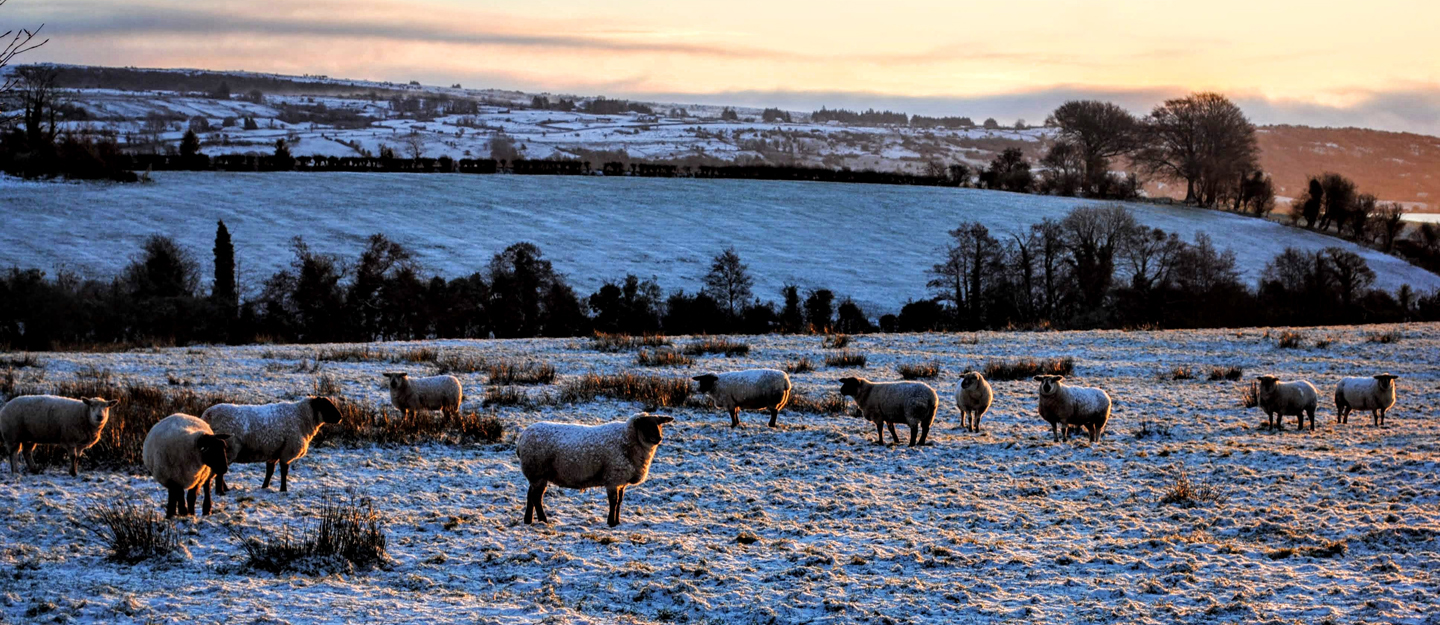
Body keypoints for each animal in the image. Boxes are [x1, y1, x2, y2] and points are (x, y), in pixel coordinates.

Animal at [201, 397, 344, 495]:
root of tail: (207, 415)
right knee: (219, 471)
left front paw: (265, 487)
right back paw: (222, 491)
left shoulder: (274, 452)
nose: (341, 417)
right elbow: (284, 472)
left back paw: (225, 489)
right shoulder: (286, 452)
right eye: (326, 406)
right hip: (228, 449)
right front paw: (283, 490)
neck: (302, 418)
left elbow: (269, 472)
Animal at [518, 414, 673, 527]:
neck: (628, 440)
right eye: (646, 425)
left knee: (530, 495)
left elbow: (620, 501)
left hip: (536, 476)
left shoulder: (621, 481)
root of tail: (522, 436)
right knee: (536, 498)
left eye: (659, 424)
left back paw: (528, 520)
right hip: (537, 473)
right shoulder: (613, 478)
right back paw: (543, 520)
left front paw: (617, 521)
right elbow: (613, 501)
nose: (659, 438)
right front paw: (611, 522)